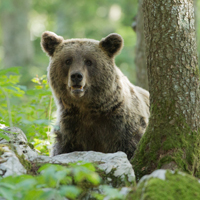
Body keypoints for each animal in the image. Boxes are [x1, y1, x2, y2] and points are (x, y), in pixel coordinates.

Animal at [41, 31, 149, 159]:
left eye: (88, 61)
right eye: (68, 60)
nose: (76, 76)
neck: (88, 108)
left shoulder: (123, 127)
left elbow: (130, 148)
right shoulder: (70, 129)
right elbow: (62, 149)